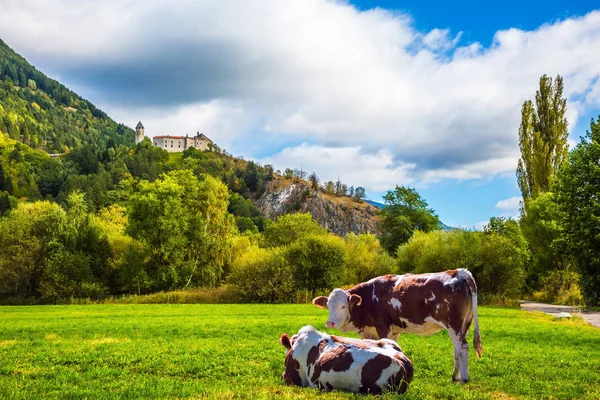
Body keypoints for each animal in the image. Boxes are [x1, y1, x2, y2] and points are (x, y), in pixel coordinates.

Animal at [312, 268, 480, 382]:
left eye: (343, 306)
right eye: (328, 306)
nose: (330, 322)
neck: (369, 298)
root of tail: (458, 272)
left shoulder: (383, 327)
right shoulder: (379, 331)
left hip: (454, 325)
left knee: (463, 348)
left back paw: (464, 379)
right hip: (464, 325)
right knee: (457, 350)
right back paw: (454, 377)